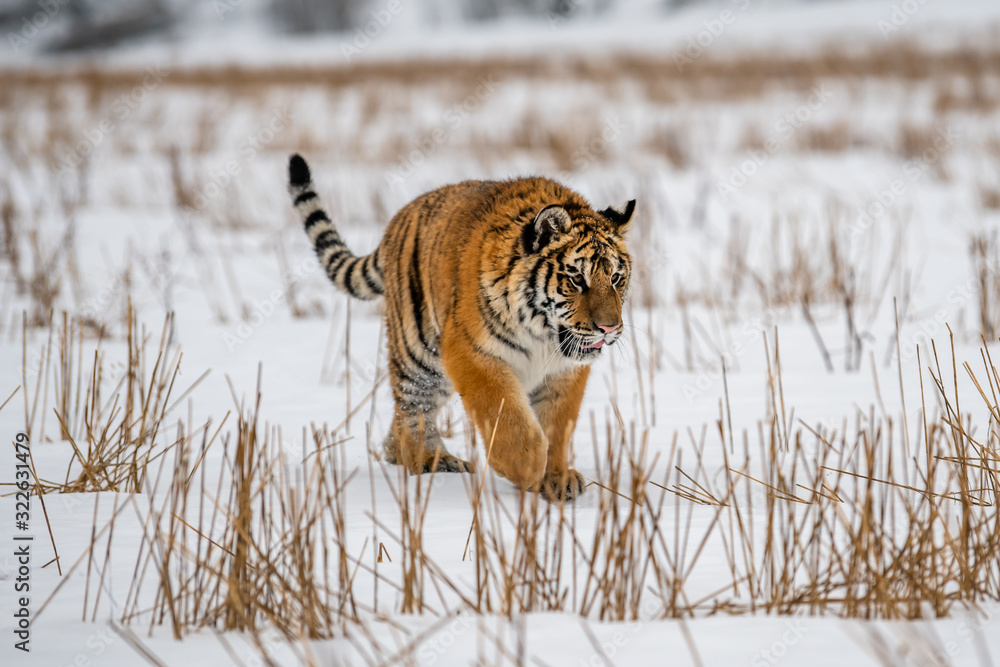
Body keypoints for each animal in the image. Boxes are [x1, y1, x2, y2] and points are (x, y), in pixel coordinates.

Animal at [287, 154, 634, 501]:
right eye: (577, 280)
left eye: (616, 278)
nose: (609, 328)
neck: (543, 336)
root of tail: (398, 218)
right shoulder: (472, 352)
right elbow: (504, 415)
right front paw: (527, 465)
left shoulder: (565, 370)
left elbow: (558, 423)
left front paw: (557, 479)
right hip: (420, 358)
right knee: (413, 411)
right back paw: (431, 461)